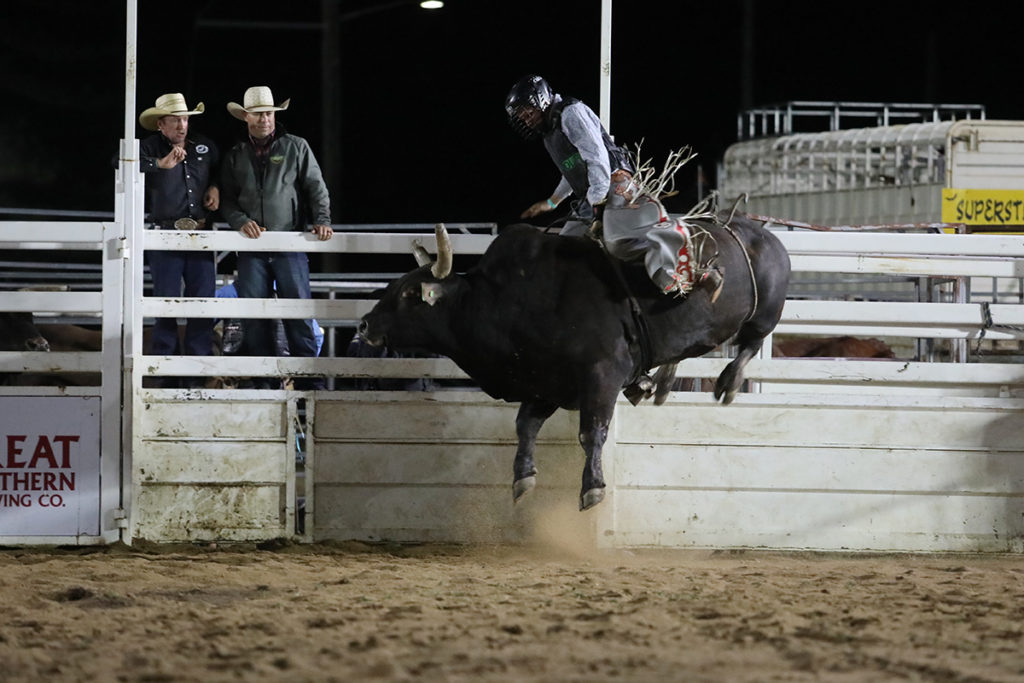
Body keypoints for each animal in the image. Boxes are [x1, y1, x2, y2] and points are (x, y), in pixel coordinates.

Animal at [356, 216, 786, 509]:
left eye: (410, 293)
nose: (363, 325)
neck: (507, 299)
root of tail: (761, 234)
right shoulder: (545, 381)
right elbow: (525, 426)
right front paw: (523, 478)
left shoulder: (602, 374)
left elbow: (591, 432)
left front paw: (592, 488)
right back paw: (663, 382)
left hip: (766, 310)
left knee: (751, 341)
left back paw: (728, 381)